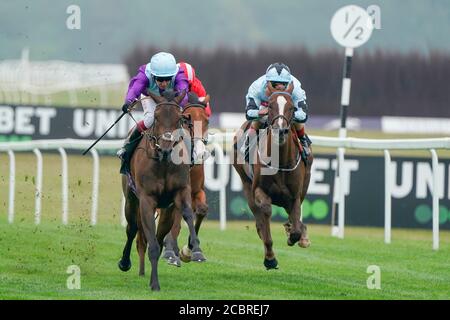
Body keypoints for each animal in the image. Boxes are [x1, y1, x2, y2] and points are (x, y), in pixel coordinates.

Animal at [117, 90, 207, 290]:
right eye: (156, 118)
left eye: (179, 119)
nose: (165, 148)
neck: (164, 162)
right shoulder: (146, 199)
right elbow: (150, 239)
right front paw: (155, 283)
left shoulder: (182, 192)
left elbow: (189, 214)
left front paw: (194, 250)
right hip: (131, 199)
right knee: (132, 229)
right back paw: (127, 263)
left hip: (166, 208)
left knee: (158, 234)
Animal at [232, 82, 312, 270]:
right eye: (269, 105)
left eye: (292, 107)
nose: (280, 131)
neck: (280, 162)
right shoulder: (259, 190)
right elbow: (266, 212)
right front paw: (270, 258)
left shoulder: (295, 195)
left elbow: (295, 223)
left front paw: (294, 233)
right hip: (246, 183)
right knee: (258, 213)